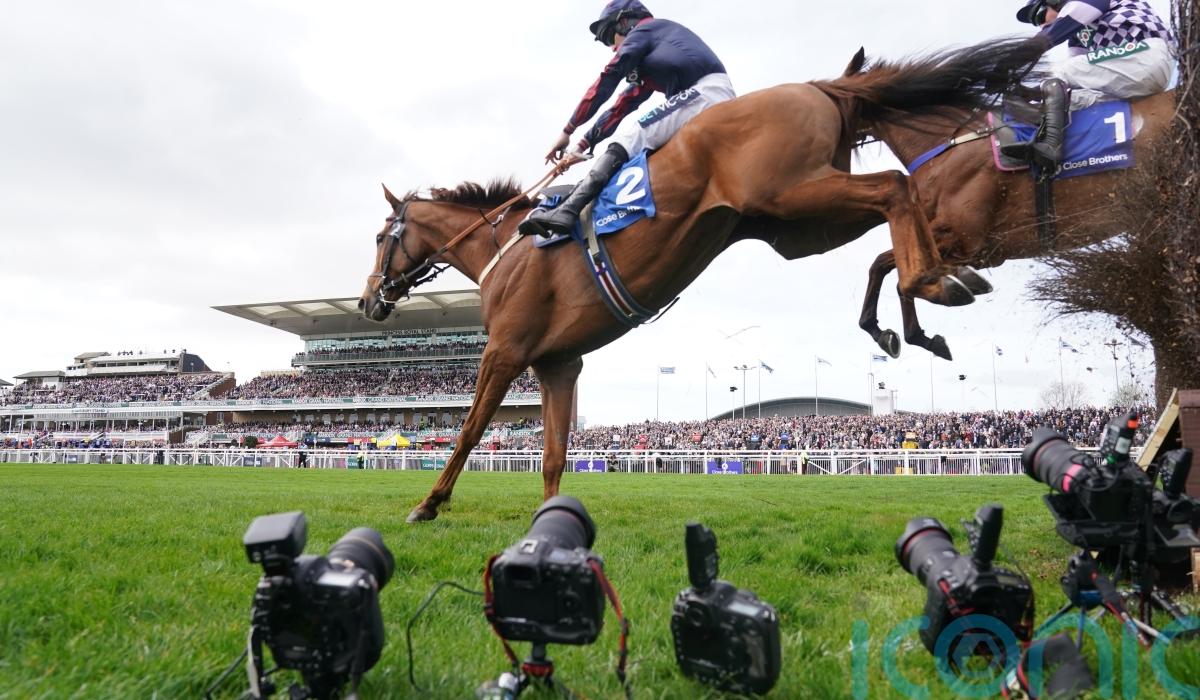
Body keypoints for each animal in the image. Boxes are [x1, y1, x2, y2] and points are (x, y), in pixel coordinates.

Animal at [359, 38, 1045, 522]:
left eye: (380, 236)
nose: (369, 299)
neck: (507, 249)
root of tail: (814, 86)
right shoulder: (558, 365)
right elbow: (552, 455)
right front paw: (549, 524)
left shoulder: (503, 351)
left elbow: (470, 430)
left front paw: (427, 503)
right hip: (798, 224)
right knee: (891, 216)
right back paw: (927, 295)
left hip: (791, 192)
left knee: (896, 188)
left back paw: (933, 280)